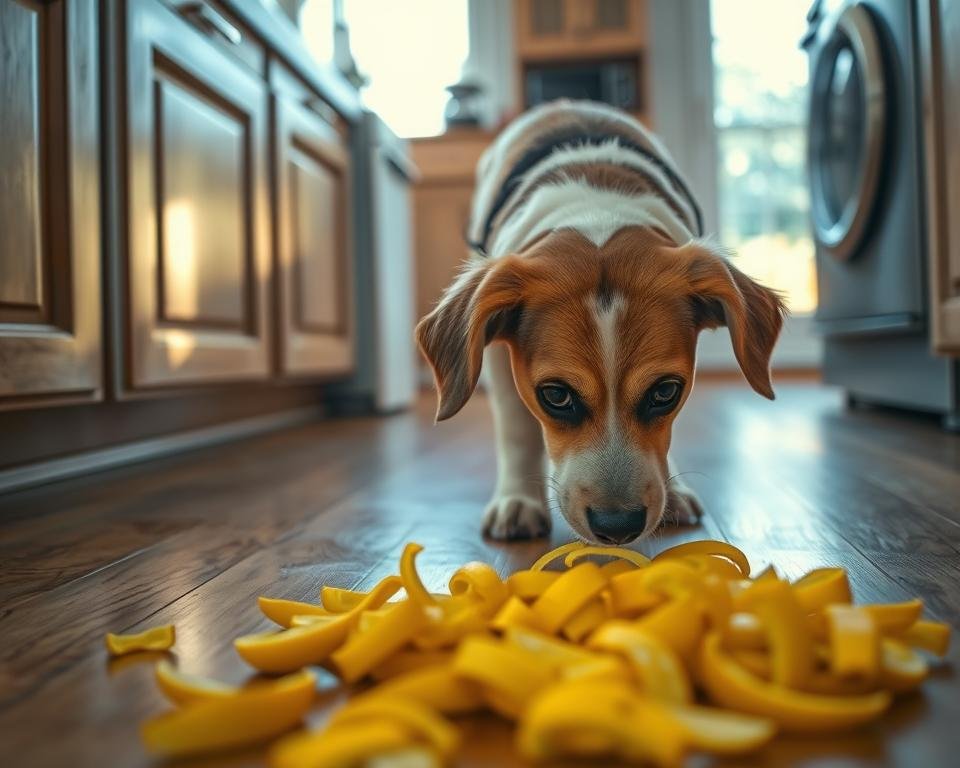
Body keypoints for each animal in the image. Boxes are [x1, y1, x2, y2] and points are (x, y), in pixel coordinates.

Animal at [416, 100, 784, 544]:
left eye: (666, 392)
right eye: (556, 396)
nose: (618, 526)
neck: (598, 211)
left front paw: (674, 490)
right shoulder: (497, 359)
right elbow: (517, 430)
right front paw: (518, 500)